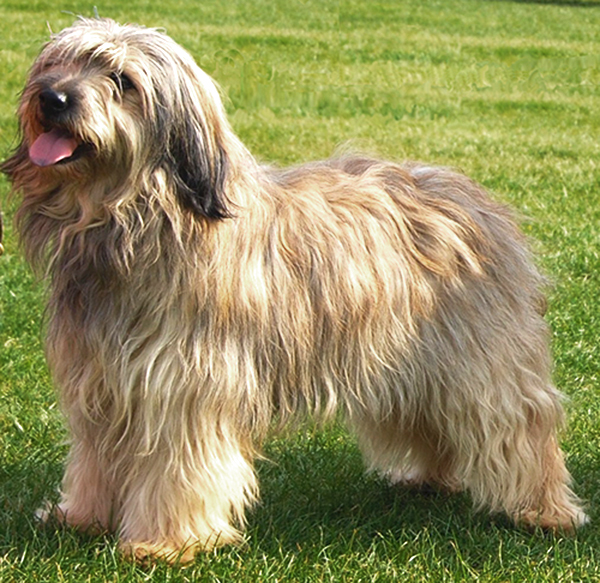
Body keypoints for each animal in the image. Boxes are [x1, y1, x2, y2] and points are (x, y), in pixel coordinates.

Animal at [2, 18, 588, 564]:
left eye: (122, 80)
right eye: (55, 64)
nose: (52, 98)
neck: (133, 226)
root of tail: (475, 197)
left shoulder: (183, 386)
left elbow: (178, 467)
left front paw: (165, 542)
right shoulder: (99, 380)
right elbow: (93, 456)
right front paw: (81, 518)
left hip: (481, 357)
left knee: (520, 420)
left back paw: (544, 511)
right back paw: (431, 478)